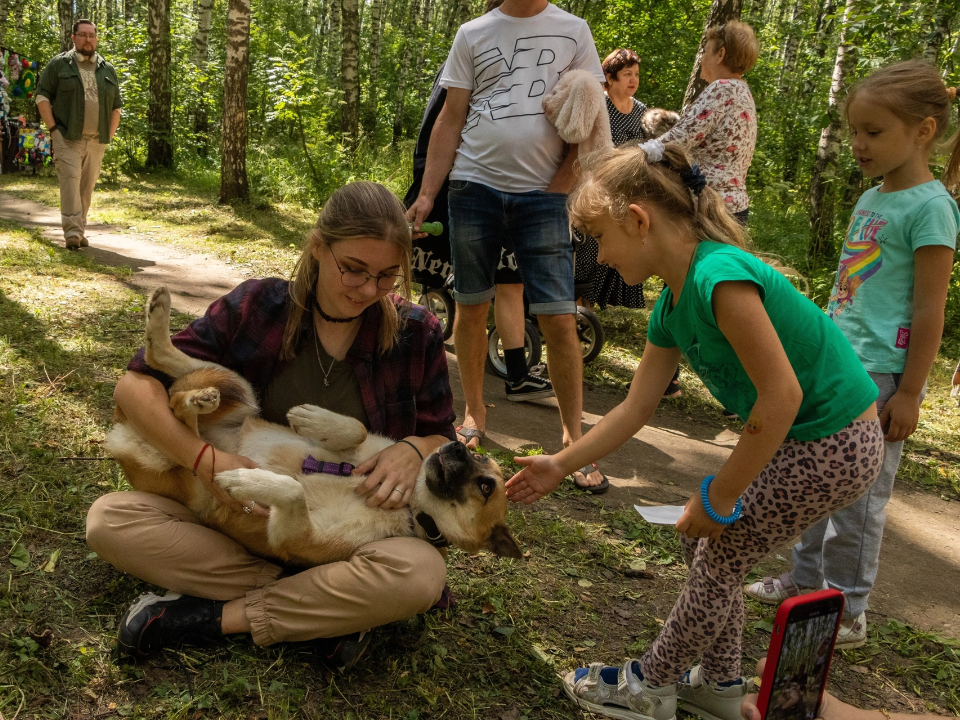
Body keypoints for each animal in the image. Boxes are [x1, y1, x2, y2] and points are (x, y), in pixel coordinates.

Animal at [106, 286, 520, 568]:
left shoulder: (296, 537)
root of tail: (123, 436)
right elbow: (355, 429)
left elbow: (292, 491)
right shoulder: (368, 445)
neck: (411, 500)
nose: (458, 446)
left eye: (487, 487)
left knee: (181, 415)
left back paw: (196, 402)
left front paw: (247, 480)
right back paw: (167, 330)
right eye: (478, 457)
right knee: (165, 369)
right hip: (243, 388)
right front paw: (316, 420)